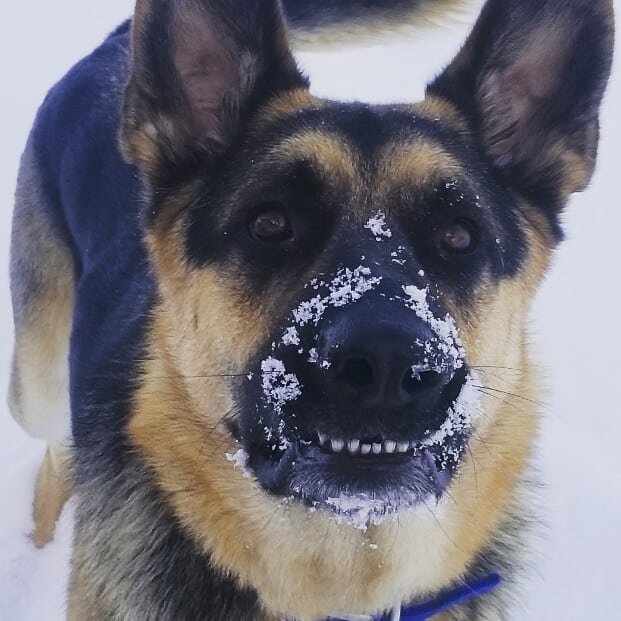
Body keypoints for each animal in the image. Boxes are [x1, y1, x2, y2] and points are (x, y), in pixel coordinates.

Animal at [7, 0, 612, 616]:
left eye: (459, 236)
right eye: (271, 223)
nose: (389, 364)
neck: (339, 587)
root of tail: (113, 48)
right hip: (39, 386)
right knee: (56, 448)